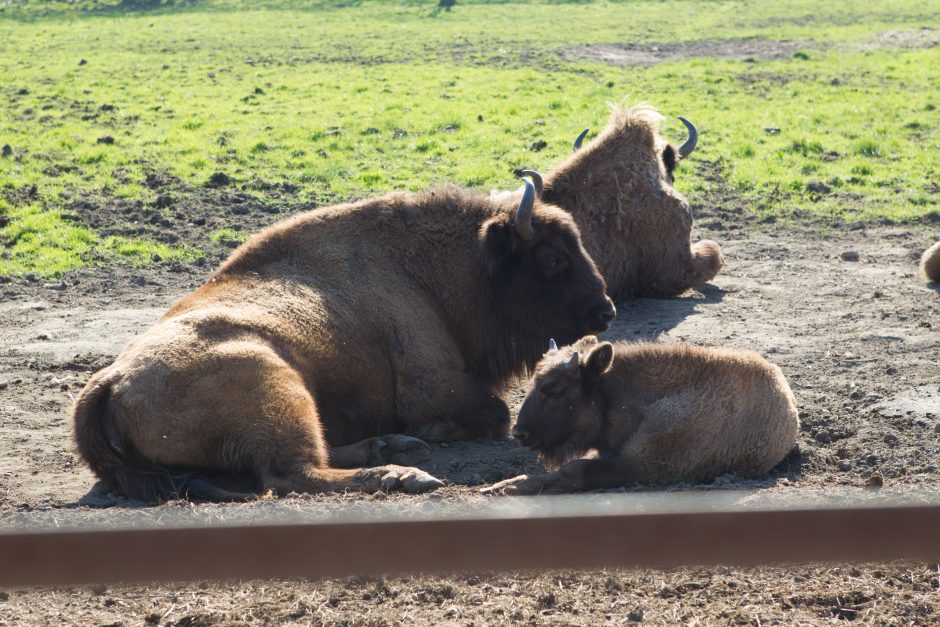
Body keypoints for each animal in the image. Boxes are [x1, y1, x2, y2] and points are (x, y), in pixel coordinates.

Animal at [73, 179, 616, 502]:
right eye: (552, 257)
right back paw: (405, 472)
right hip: (277, 387)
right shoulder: (435, 386)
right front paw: (433, 433)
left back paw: (395, 448)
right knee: (293, 474)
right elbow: (495, 414)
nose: (605, 311)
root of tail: (110, 381)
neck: (422, 268)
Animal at [484, 338, 800, 496]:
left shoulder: (640, 465)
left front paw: (511, 487)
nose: (520, 433)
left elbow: (576, 470)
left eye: (556, 390)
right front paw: (500, 484)